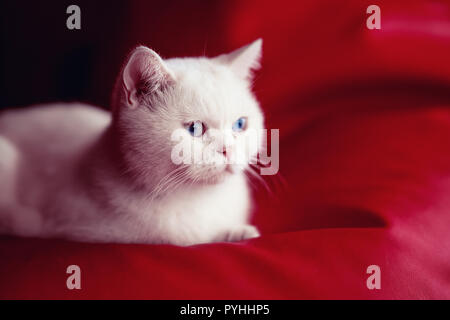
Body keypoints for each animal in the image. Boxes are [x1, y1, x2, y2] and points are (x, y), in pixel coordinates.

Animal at [0, 39, 264, 245]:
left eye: (240, 124)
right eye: (195, 129)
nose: (228, 150)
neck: (200, 199)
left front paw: (239, 232)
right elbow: (187, 238)